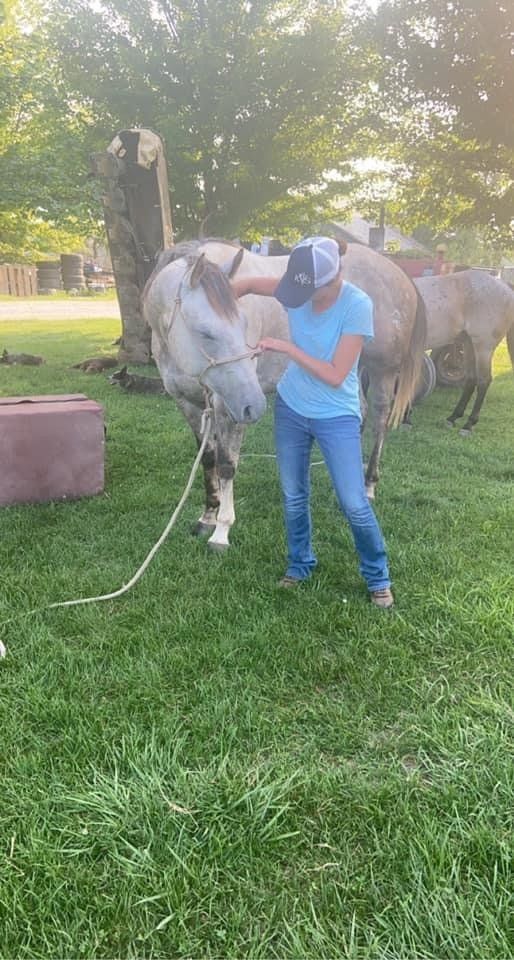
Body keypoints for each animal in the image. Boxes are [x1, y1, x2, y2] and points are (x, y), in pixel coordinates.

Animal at [415, 270, 514, 434]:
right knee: (471, 379)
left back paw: (468, 424)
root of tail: (503, 284)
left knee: (483, 381)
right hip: (468, 344)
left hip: (483, 347)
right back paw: (453, 417)